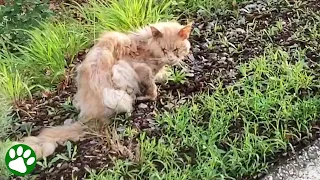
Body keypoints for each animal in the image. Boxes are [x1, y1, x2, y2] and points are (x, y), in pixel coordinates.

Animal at [19, 20, 192, 159]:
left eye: (176, 50)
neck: (146, 46)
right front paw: (152, 91)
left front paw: (163, 75)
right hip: (117, 83)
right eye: (164, 50)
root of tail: (89, 117)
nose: (171, 58)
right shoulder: (139, 68)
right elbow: (152, 87)